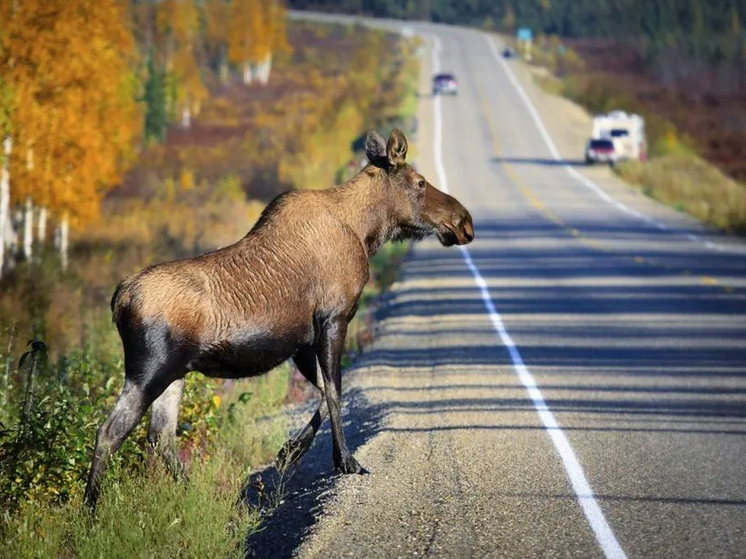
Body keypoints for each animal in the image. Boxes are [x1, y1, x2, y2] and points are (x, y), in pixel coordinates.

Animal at [84, 130, 474, 508]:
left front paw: (290, 451)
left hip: (175, 373)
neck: (366, 233)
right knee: (109, 432)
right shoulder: (333, 319)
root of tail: (119, 300)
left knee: (160, 437)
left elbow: (325, 392)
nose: (464, 222)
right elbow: (335, 390)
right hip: (150, 370)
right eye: (420, 182)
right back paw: (91, 510)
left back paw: (198, 497)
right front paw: (345, 461)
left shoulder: (302, 341)